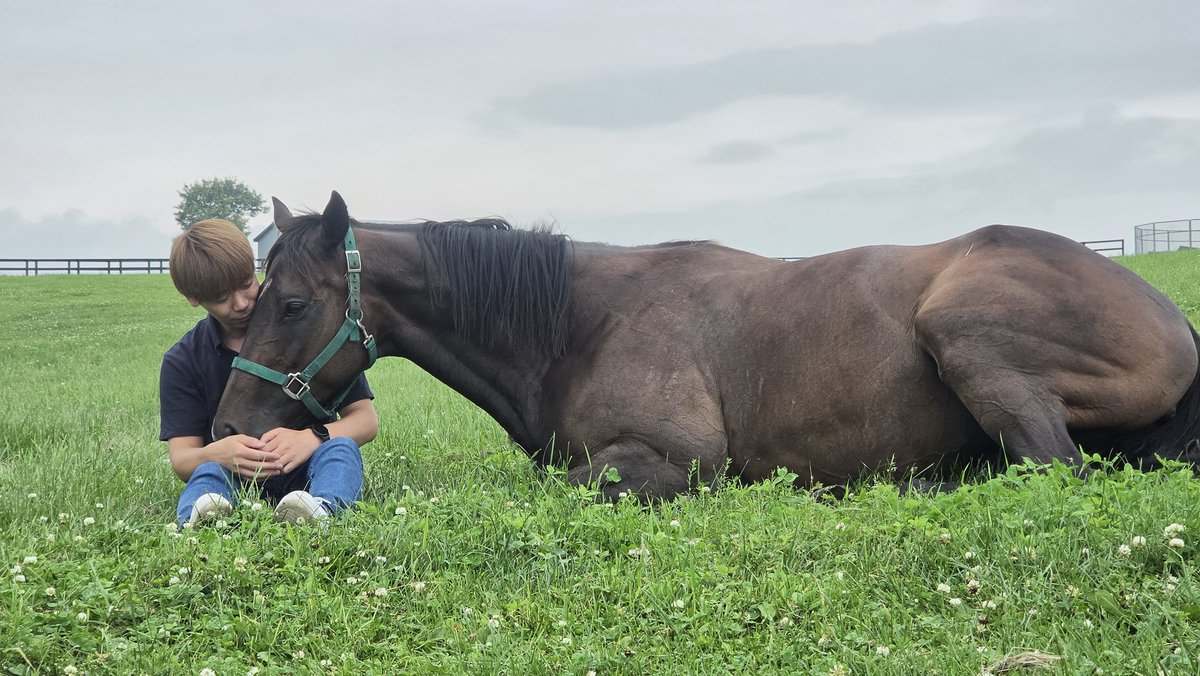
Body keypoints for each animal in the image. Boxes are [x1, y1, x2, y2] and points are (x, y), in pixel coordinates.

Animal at [213, 191, 1200, 500]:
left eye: (291, 303)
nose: (228, 428)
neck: (577, 324)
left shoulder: (674, 461)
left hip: (963, 330)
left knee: (1049, 465)